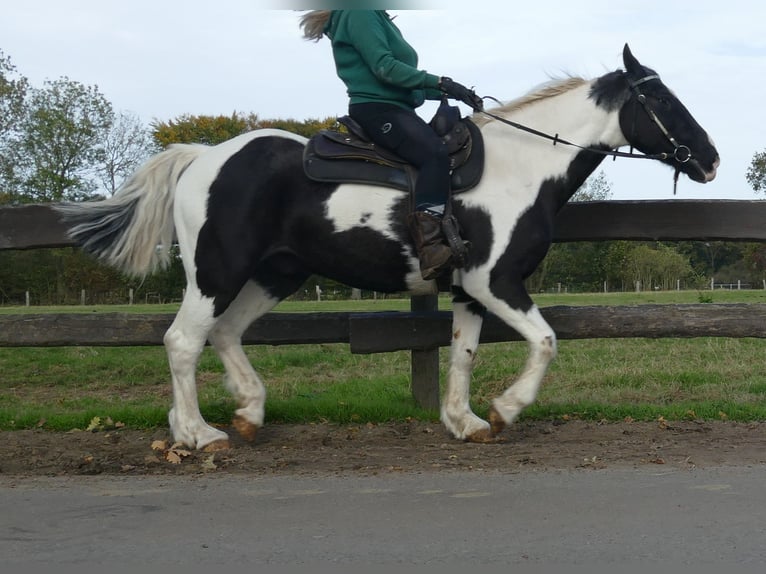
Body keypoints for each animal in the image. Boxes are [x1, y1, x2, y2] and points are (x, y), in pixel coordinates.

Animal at [58, 45, 720, 452]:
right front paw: (505, 410)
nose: (711, 159)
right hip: (218, 272)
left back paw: (242, 413)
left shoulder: (469, 291)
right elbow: (546, 342)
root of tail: (203, 157)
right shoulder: (496, 281)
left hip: (276, 274)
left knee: (222, 334)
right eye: (662, 101)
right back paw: (199, 434)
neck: (523, 168)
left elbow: (462, 355)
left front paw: (464, 421)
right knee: (182, 340)